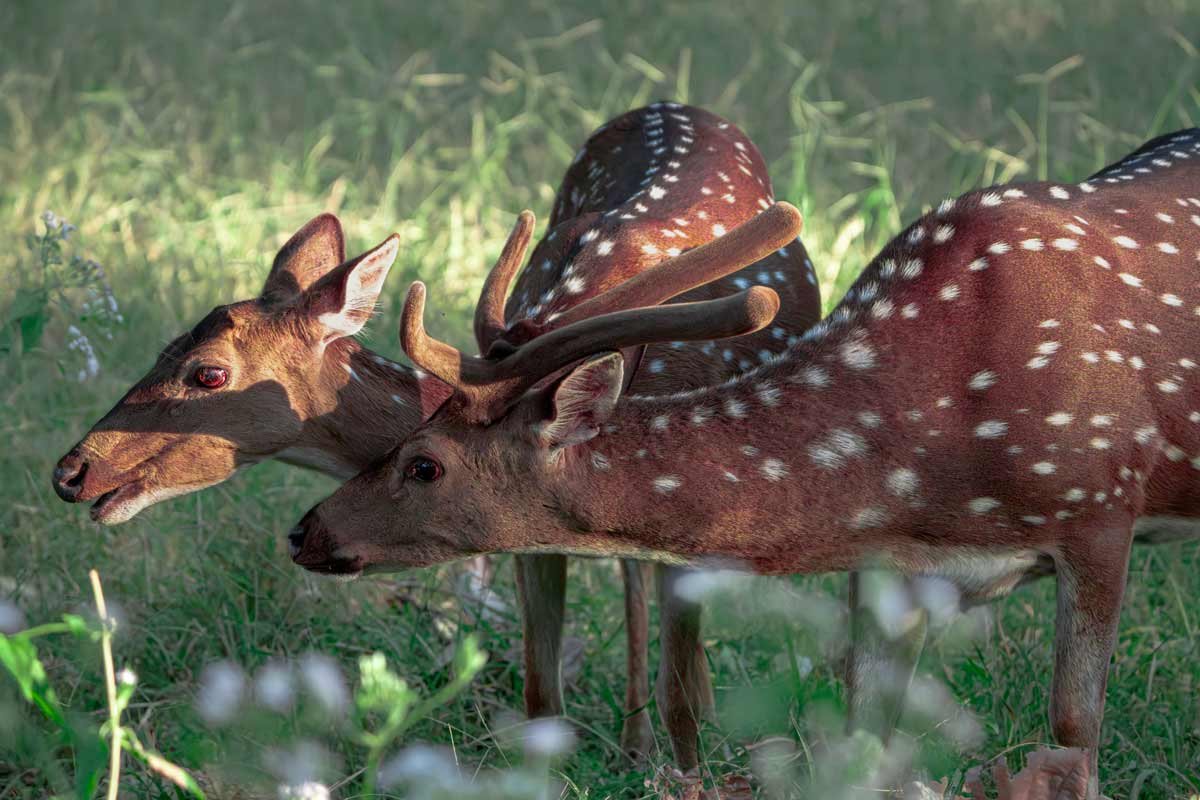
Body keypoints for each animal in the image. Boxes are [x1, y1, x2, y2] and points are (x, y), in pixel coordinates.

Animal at [50, 103, 822, 767]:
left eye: (208, 372)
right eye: (165, 345)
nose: (70, 471)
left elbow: (680, 701)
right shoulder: (530, 529)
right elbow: (542, 696)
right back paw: (634, 748)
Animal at [288, 128, 1200, 796]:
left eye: (424, 463)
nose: (305, 532)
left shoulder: (1101, 508)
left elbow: (1074, 735)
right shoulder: (903, 568)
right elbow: (866, 734)